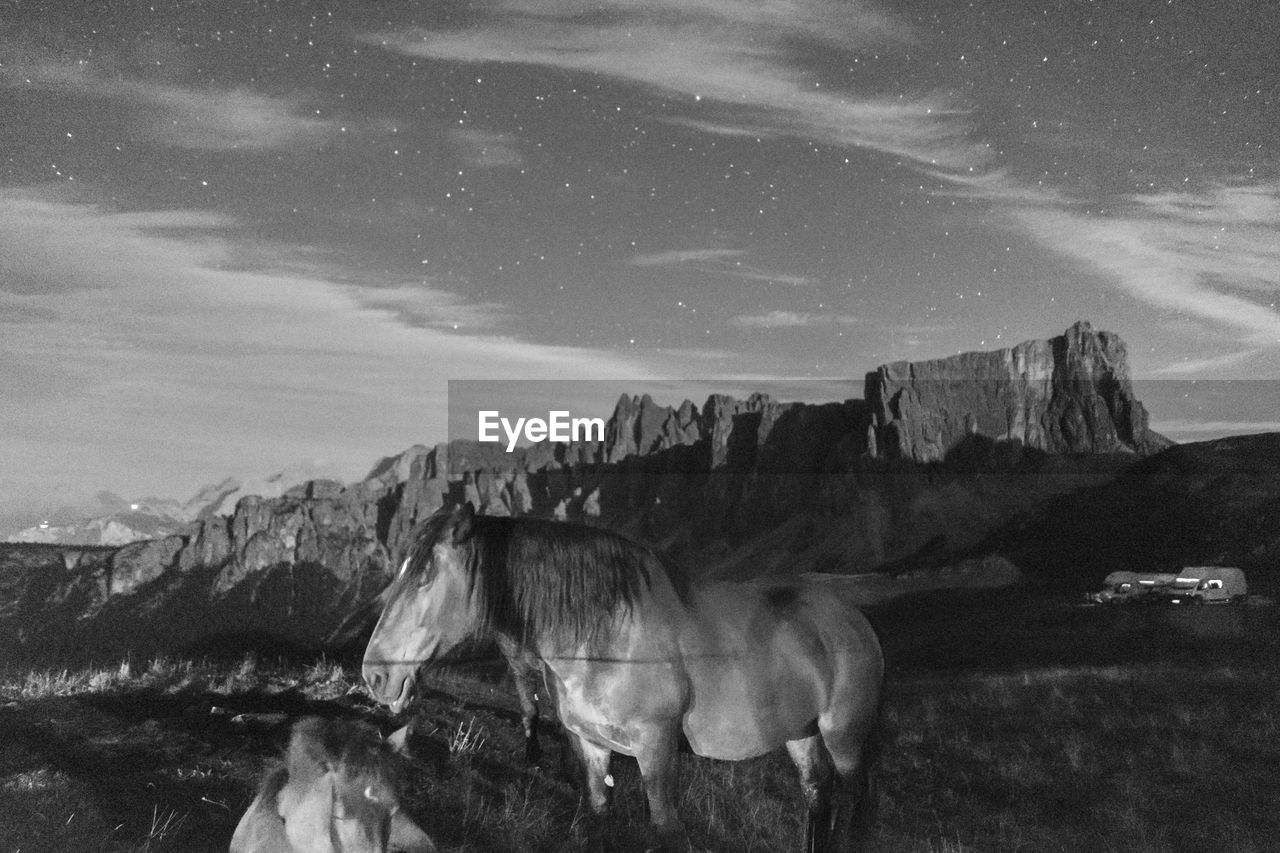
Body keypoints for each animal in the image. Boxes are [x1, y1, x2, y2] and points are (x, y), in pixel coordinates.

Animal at [360, 502, 880, 845]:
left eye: (425, 576)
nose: (376, 675)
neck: (607, 636)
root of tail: (853, 619)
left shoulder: (656, 747)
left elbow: (666, 830)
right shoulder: (590, 746)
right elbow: (599, 815)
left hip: (844, 737)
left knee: (850, 807)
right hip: (800, 734)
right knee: (817, 800)